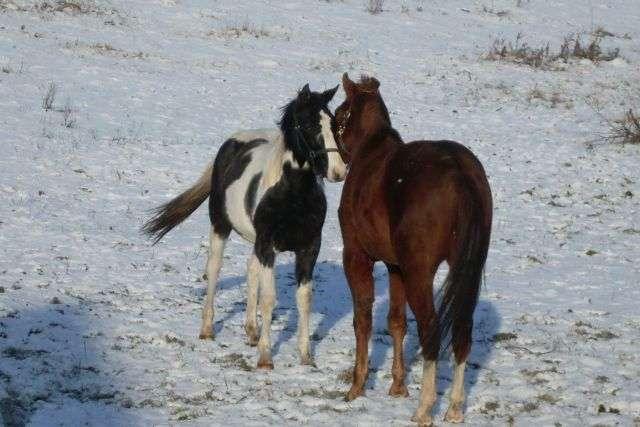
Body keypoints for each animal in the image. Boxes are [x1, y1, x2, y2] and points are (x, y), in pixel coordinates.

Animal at [143, 85, 348, 370]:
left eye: (333, 123)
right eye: (307, 124)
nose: (338, 172)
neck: (292, 194)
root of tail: (232, 142)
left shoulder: (308, 247)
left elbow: (304, 299)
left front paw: (306, 357)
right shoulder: (268, 244)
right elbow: (269, 298)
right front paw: (265, 358)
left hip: (255, 241)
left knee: (251, 270)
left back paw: (251, 331)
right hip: (221, 227)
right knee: (214, 269)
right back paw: (207, 329)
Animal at [336, 74, 490, 427]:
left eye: (338, 116)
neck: (371, 152)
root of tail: (459, 172)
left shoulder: (357, 256)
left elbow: (363, 318)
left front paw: (357, 385)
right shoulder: (396, 266)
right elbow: (396, 321)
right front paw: (398, 385)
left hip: (420, 272)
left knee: (431, 330)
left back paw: (424, 409)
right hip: (465, 270)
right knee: (462, 331)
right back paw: (454, 408)